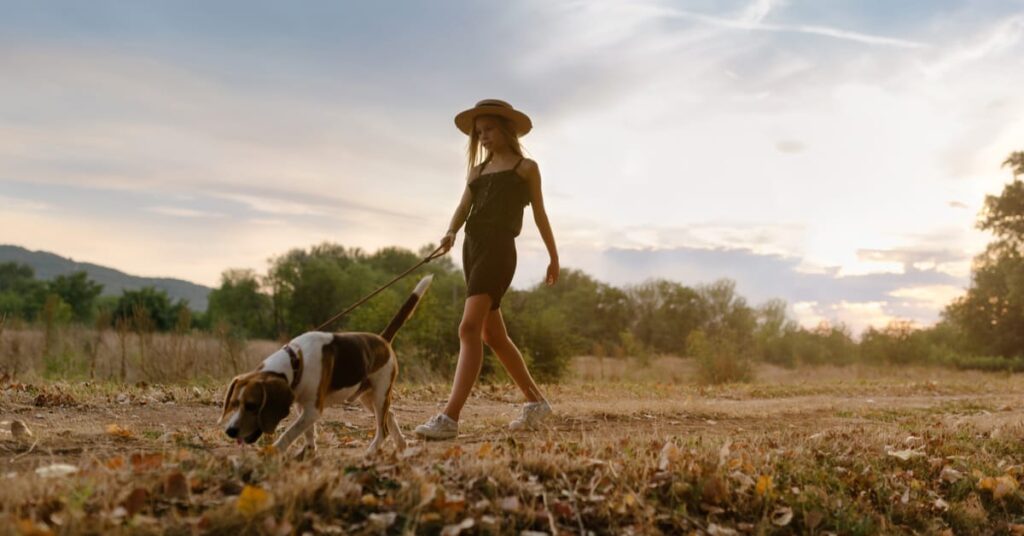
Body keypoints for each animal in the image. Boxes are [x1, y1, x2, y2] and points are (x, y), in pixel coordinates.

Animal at [220, 274, 432, 455]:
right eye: (234, 403)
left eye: (252, 405)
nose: (230, 431)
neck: (296, 362)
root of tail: (382, 339)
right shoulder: (303, 407)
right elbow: (307, 432)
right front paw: (309, 451)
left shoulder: (313, 409)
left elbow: (290, 432)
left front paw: (275, 451)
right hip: (369, 397)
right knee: (391, 415)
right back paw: (401, 444)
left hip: (379, 396)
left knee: (383, 429)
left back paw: (371, 451)